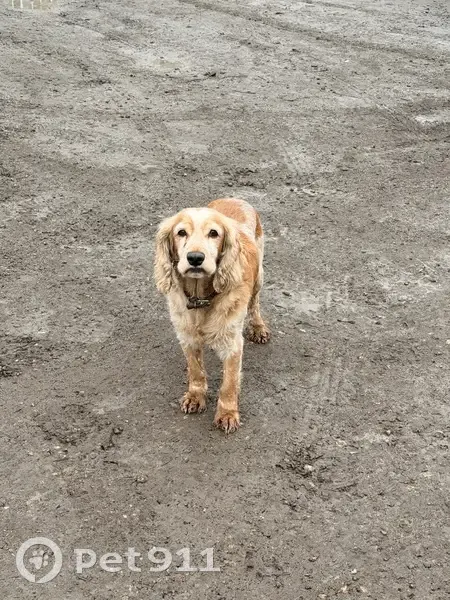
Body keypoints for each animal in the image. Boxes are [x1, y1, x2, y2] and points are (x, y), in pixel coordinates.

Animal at [154, 197, 270, 433]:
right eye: (181, 232)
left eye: (214, 233)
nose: (195, 258)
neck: (201, 299)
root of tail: (235, 198)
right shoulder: (187, 336)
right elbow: (196, 371)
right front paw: (195, 397)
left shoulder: (233, 343)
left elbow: (229, 383)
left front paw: (227, 414)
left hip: (259, 278)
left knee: (255, 304)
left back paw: (258, 328)